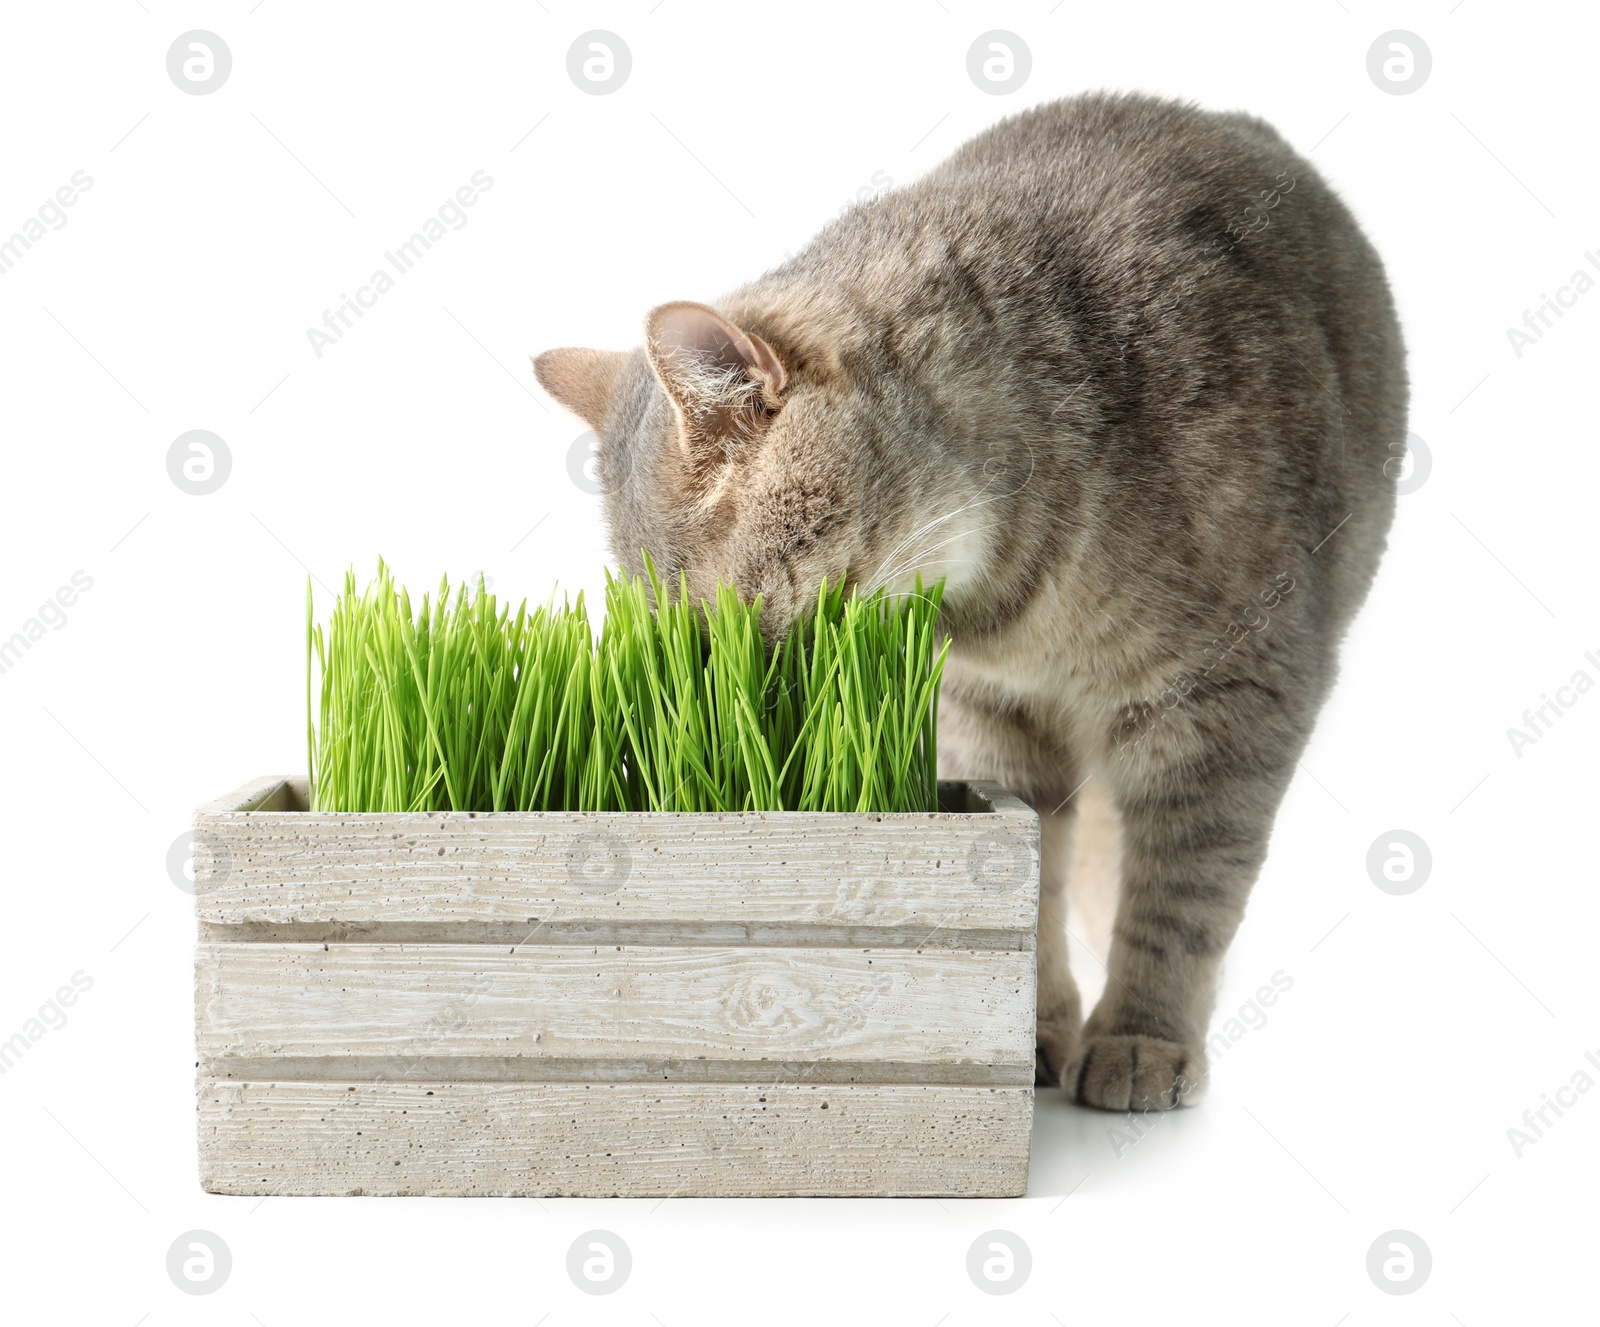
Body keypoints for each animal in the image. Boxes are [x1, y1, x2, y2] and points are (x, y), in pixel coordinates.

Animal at [534, 90, 1401, 1107]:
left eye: (734, 633)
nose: (728, 701)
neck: (1011, 602)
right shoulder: (992, 716)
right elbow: (1037, 883)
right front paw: (1034, 1030)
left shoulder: (1232, 699)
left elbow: (1182, 894)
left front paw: (1141, 1039)